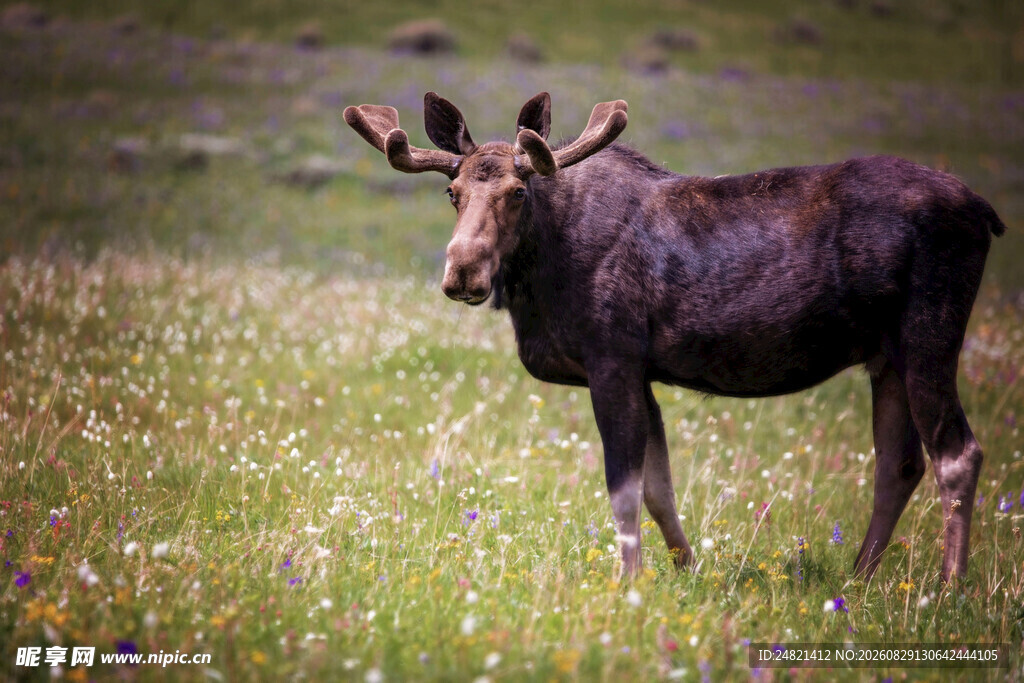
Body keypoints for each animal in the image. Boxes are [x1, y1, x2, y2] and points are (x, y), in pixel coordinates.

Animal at [344, 91, 1006, 582]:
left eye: (518, 191)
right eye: (452, 192)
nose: (462, 272)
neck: (538, 278)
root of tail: (985, 211)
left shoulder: (611, 358)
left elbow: (624, 489)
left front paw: (626, 583)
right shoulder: (641, 372)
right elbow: (660, 488)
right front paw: (686, 571)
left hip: (927, 334)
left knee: (957, 454)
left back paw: (949, 587)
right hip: (885, 357)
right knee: (899, 463)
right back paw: (860, 577)